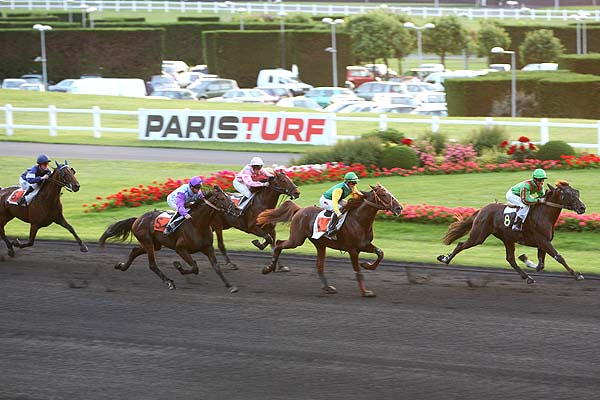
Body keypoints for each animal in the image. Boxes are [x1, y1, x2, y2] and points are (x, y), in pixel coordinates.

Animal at [99, 186, 240, 292]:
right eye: (222, 198)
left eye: (228, 196)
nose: (237, 210)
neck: (197, 224)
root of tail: (137, 219)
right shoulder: (180, 248)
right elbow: (194, 267)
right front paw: (178, 265)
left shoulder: (208, 247)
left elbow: (216, 267)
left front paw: (230, 286)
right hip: (148, 242)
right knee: (152, 264)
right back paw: (169, 282)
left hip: (155, 244)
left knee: (135, 250)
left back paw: (121, 266)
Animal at [255, 184, 400, 296]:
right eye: (383, 194)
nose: (399, 208)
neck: (359, 220)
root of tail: (299, 210)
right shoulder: (353, 250)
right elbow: (358, 271)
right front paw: (365, 292)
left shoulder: (364, 245)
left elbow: (380, 253)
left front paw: (367, 265)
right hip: (297, 239)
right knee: (279, 244)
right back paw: (268, 268)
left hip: (320, 244)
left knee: (319, 266)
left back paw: (327, 288)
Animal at [436, 182, 584, 284]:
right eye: (569, 194)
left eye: (577, 192)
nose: (583, 207)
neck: (543, 215)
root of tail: (482, 209)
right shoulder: (543, 241)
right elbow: (559, 257)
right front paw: (577, 274)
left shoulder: (543, 242)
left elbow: (541, 265)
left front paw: (525, 259)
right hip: (478, 236)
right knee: (460, 245)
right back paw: (445, 259)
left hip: (507, 238)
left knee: (510, 259)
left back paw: (527, 277)